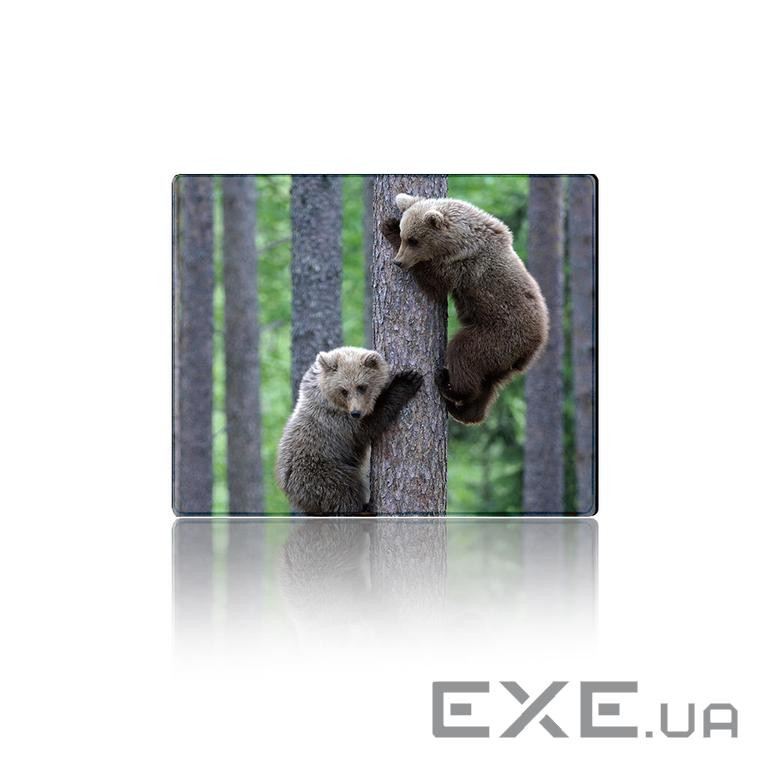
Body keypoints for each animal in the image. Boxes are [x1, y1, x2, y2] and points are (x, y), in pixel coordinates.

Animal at [276, 346, 423, 515]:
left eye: (362, 386)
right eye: (344, 390)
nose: (356, 412)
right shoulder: (337, 422)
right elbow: (369, 426)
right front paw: (407, 380)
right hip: (319, 470)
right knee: (342, 490)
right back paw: (364, 508)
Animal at [381, 193, 549, 425]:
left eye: (413, 240)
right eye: (406, 235)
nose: (398, 261)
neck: (460, 239)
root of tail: (534, 345)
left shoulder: (462, 267)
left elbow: (435, 285)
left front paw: (388, 227)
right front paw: (395, 213)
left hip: (498, 335)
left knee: (463, 354)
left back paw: (448, 384)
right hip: (503, 360)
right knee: (488, 385)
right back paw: (465, 411)